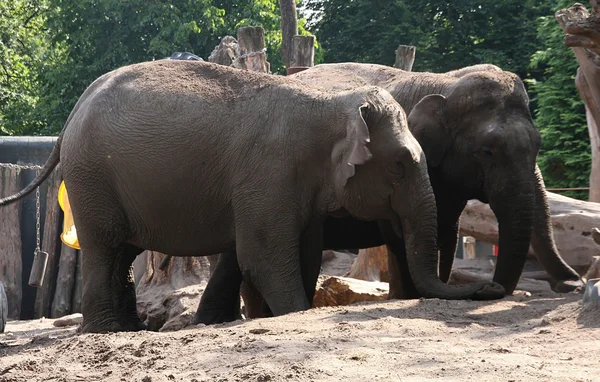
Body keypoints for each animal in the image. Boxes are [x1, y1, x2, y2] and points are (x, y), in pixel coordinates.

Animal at [0, 58, 502, 332]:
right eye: (399, 164)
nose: (492, 288)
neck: (330, 104)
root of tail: (71, 115)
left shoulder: (297, 187)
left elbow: (305, 252)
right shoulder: (268, 172)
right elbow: (263, 255)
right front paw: (293, 312)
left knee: (122, 252)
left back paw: (127, 328)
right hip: (92, 177)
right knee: (105, 248)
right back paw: (108, 332)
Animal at [196, 62, 580, 326]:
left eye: (538, 145)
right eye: (487, 151)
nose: (573, 283)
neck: (446, 80)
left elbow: (445, 230)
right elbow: (404, 232)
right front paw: (413, 295)